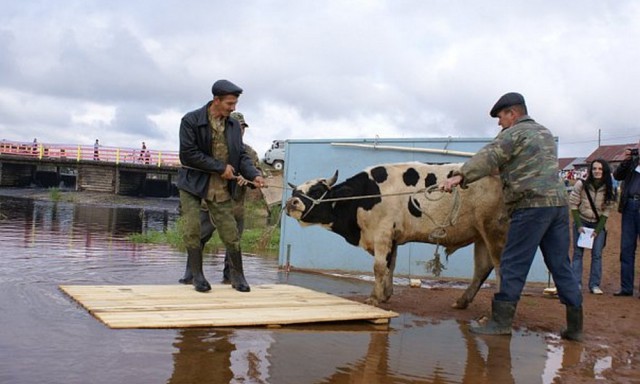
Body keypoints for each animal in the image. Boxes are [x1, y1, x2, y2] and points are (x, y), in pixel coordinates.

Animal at [284, 162, 510, 308]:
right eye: (295, 192)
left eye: (316, 191)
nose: (291, 202)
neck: (364, 195)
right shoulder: (392, 237)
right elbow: (389, 266)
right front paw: (386, 295)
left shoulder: (382, 233)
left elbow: (378, 267)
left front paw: (374, 298)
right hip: (480, 234)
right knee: (482, 268)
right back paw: (462, 301)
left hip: (494, 229)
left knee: (500, 267)